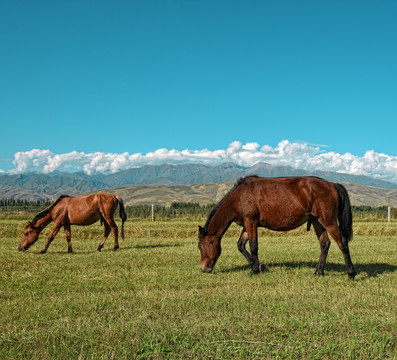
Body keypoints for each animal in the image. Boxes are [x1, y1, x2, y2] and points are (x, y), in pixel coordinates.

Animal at [198, 176, 356, 280]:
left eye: (200, 247)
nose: (204, 269)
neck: (240, 196)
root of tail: (332, 184)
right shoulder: (247, 224)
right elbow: (241, 245)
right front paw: (259, 266)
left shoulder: (251, 222)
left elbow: (253, 247)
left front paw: (254, 270)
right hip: (318, 221)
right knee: (324, 244)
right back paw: (318, 272)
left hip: (328, 221)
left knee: (342, 243)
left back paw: (351, 274)